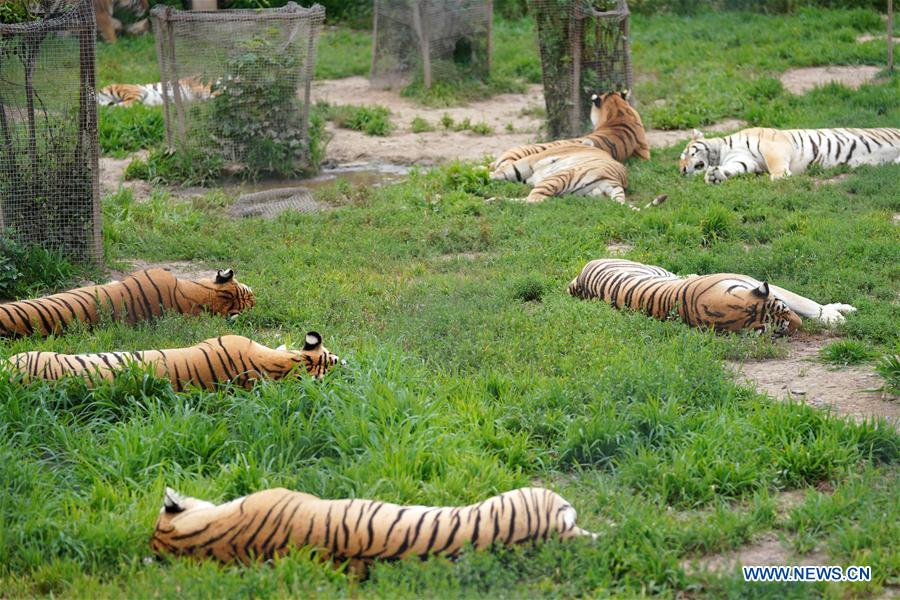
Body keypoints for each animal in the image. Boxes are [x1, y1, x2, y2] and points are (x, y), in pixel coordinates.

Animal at [567, 259, 857, 335]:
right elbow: (807, 303)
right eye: (782, 328)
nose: (800, 327)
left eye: (783, 309)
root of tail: (578, 279)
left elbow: (803, 301)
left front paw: (838, 311)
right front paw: (835, 318)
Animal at [680, 127, 900, 184]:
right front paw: (714, 176)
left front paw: (780, 176)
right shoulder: (744, 161)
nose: (681, 170)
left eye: (687, 153)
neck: (722, 151)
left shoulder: (772, 145)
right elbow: (734, 169)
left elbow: (775, 163)